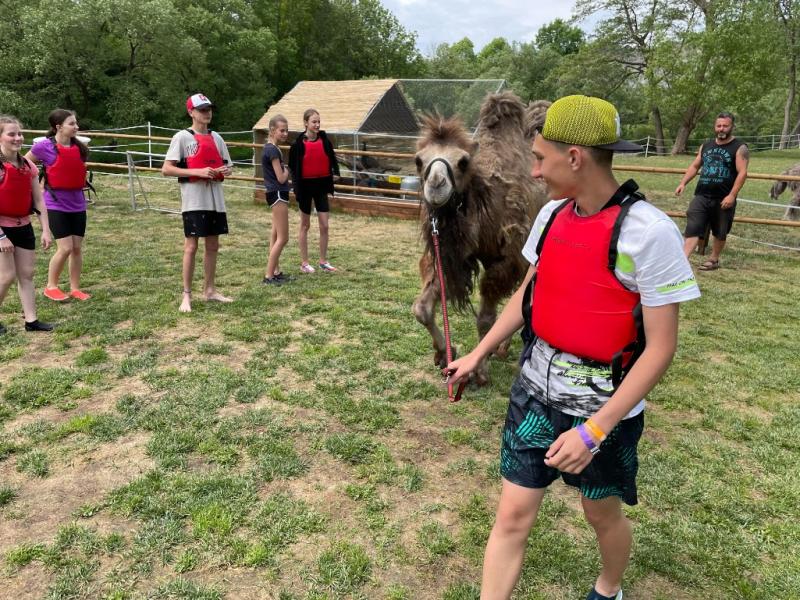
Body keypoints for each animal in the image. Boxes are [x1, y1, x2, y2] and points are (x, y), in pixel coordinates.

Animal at [412, 92, 550, 386]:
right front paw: (445, 353)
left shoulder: (505, 259)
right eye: (419, 160)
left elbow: (486, 319)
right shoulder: (451, 256)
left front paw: (479, 372)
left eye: (463, 161)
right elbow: (422, 308)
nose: (436, 185)